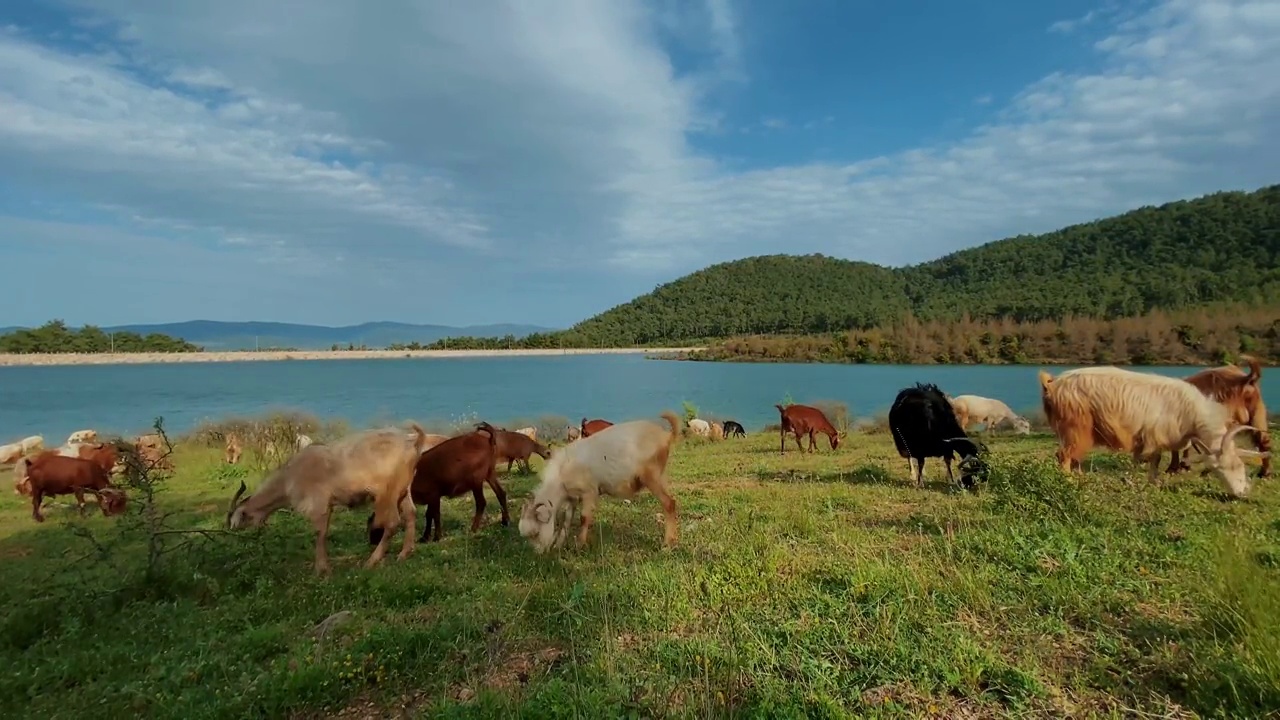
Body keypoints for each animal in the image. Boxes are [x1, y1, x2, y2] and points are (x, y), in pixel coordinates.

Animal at [227, 420, 432, 571]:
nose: (230, 529)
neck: (288, 478)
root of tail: (412, 444)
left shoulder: (316, 503)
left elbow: (319, 533)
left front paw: (321, 569)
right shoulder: (328, 505)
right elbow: (324, 531)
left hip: (387, 492)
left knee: (391, 522)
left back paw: (371, 561)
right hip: (403, 489)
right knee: (410, 513)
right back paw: (404, 554)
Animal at [366, 417, 504, 540]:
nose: (372, 541)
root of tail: (488, 440)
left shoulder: (433, 495)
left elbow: (435, 515)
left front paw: (437, 536)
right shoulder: (430, 497)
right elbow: (429, 515)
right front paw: (425, 537)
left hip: (476, 480)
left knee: (481, 502)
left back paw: (474, 528)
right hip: (490, 473)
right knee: (501, 493)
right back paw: (505, 521)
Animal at [517, 407, 686, 550]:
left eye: (535, 533)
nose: (539, 553)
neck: (560, 474)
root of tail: (666, 435)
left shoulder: (589, 492)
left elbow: (584, 518)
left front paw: (580, 545)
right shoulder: (572, 498)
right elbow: (566, 520)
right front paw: (559, 545)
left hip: (652, 476)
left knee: (668, 503)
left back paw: (667, 544)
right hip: (661, 476)